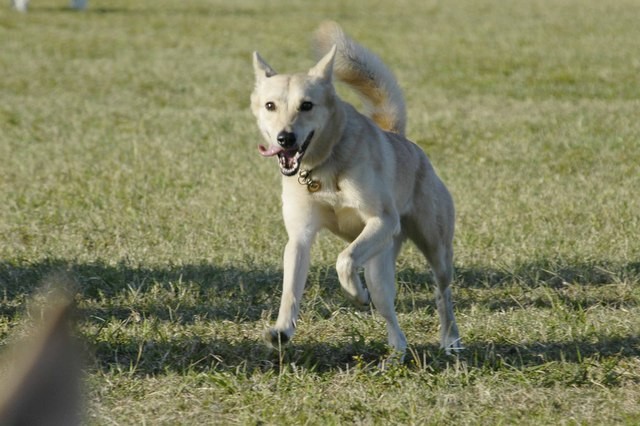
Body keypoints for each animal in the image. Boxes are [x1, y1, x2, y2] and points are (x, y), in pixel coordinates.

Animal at [249, 20, 460, 360]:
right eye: (270, 106)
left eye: (306, 105)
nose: (285, 138)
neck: (323, 169)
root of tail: (400, 137)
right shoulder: (299, 238)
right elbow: (290, 291)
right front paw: (281, 331)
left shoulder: (383, 221)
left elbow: (344, 260)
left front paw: (355, 294)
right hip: (380, 268)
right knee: (391, 314)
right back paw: (397, 352)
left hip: (434, 248)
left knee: (443, 294)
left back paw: (450, 339)